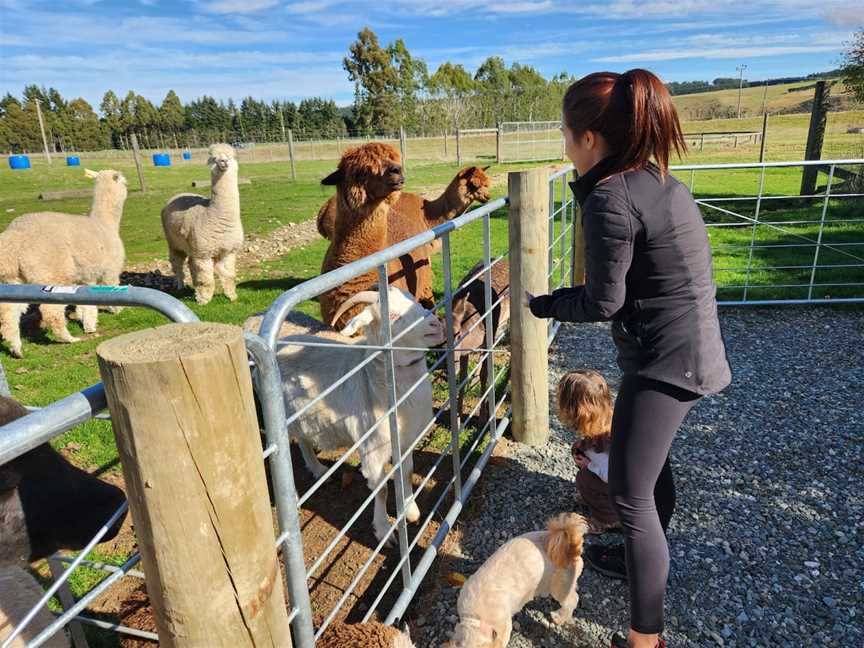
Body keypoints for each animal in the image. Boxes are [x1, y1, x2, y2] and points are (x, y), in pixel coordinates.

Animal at [446, 512, 588, 648]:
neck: (475, 617)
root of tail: (570, 548)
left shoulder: (503, 627)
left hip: (560, 587)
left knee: (572, 600)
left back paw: (559, 617)